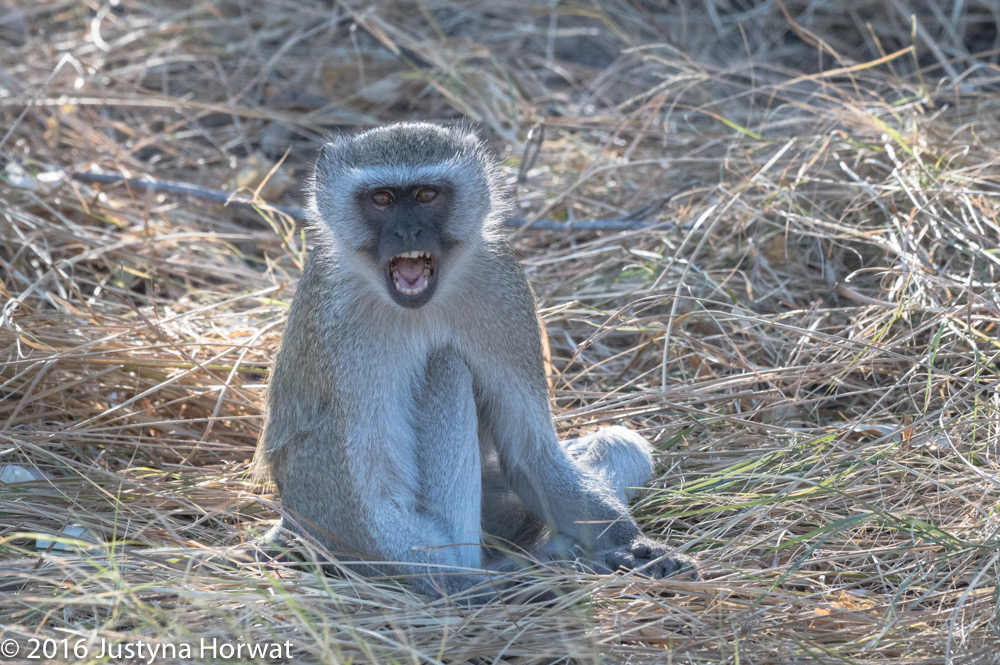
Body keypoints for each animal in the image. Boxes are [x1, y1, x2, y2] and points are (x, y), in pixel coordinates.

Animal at [256, 120, 696, 600]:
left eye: (427, 194)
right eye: (382, 199)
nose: (408, 233)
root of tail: (292, 523)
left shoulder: (503, 289)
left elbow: (529, 452)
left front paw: (634, 544)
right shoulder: (341, 331)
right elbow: (377, 493)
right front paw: (474, 588)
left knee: (620, 445)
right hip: (325, 516)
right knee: (444, 368)